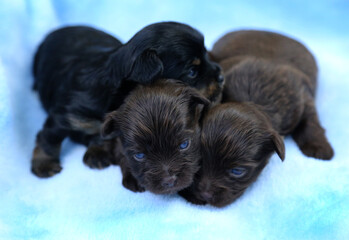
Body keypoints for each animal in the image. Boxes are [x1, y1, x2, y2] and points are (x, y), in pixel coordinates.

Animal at [32, 22, 223, 177]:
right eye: (192, 71)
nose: (221, 76)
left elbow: (101, 135)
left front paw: (97, 152)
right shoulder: (65, 115)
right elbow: (49, 138)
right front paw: (44, 164)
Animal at [179, 29, 334, 206]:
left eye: (237, 171)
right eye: (198, 159)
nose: (204, 195)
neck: (252, 101)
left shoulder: (301, 97)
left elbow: (311, 121)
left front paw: (319, 148)